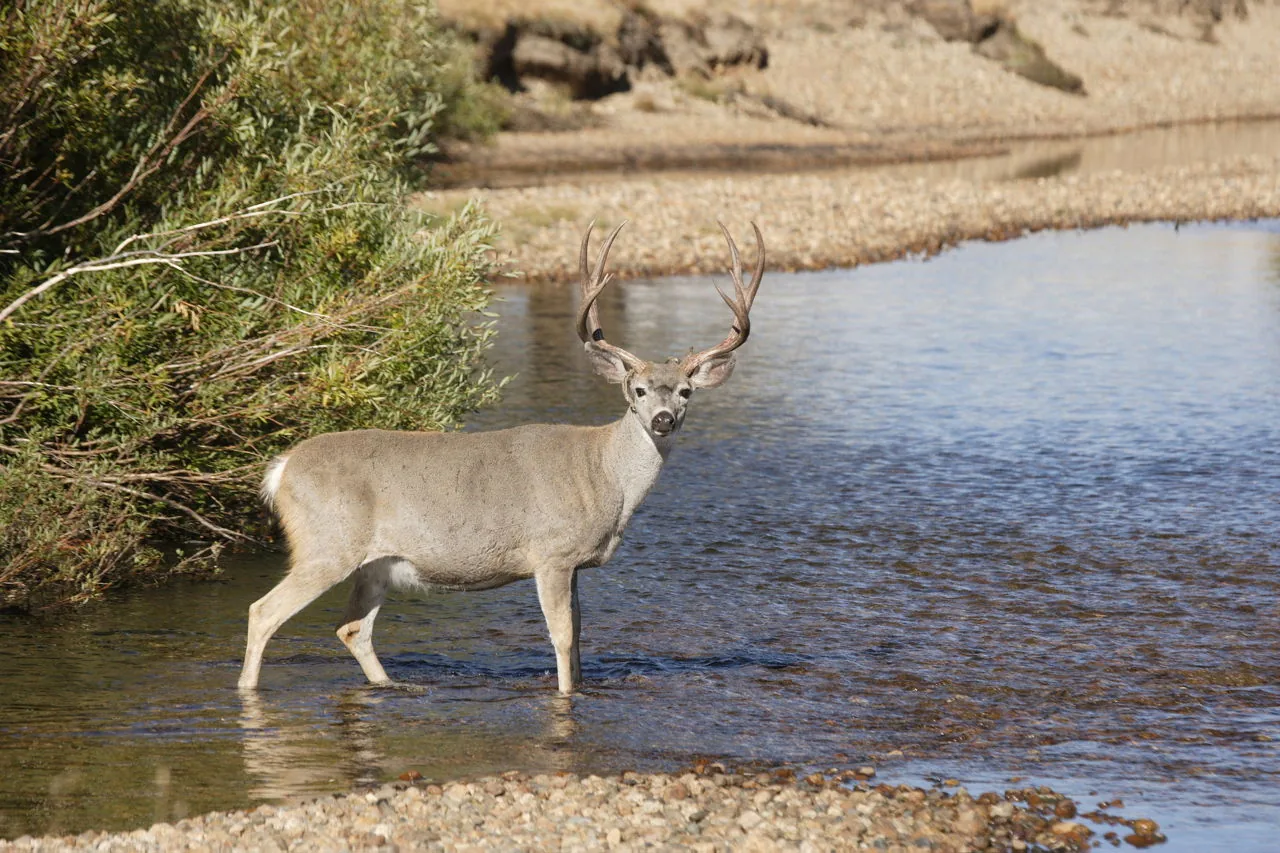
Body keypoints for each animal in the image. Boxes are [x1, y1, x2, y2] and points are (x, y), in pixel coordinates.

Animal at [237, 219, 765, 694]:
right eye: (637, 390)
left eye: (685, 392)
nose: (662, 420)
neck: (603, 474)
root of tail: (281, 469)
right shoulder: (551, 553)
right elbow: (562, 637)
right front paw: (566, 694)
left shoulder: (574, 564)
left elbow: (580, 637)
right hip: (327, 543)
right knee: (263, 611)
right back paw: (248, 689)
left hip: (376, 564)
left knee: (352, 628)